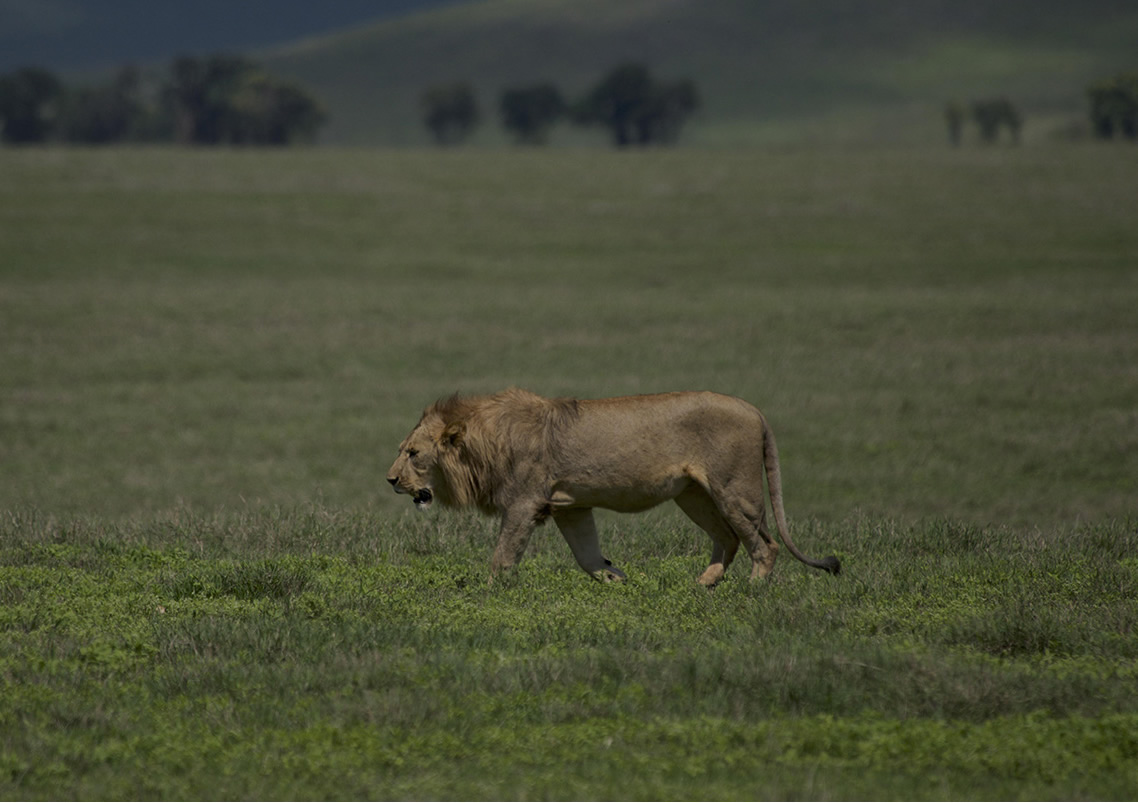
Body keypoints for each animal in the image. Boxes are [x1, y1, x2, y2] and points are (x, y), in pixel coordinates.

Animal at [386, 386, 842, 582]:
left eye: (413, 453)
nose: (390, 480)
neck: (482, 444)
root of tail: (756, 410)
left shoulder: (525, 502)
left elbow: (502, 557)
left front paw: (492, 594)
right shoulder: (571, 506)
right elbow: (587, 555)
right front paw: (614, 580)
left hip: (735, 489)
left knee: (764, 545)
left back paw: (750, 591)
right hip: (693, 495)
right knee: (727, 539)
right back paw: (703, 586)